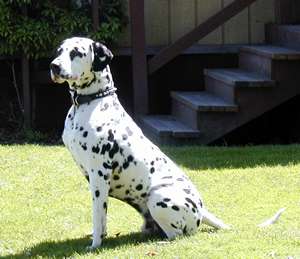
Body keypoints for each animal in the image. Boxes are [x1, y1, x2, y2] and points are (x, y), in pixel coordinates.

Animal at [50, 36, 230, 250]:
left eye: (76, 52)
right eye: (59, 51)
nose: (54, 66)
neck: (91, 103)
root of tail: (201, 211)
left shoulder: (99, 175)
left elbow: (97, 215)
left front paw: (95, 245)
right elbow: (102, 220)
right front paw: (99, 236)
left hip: (157, 198)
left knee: (177, 236)